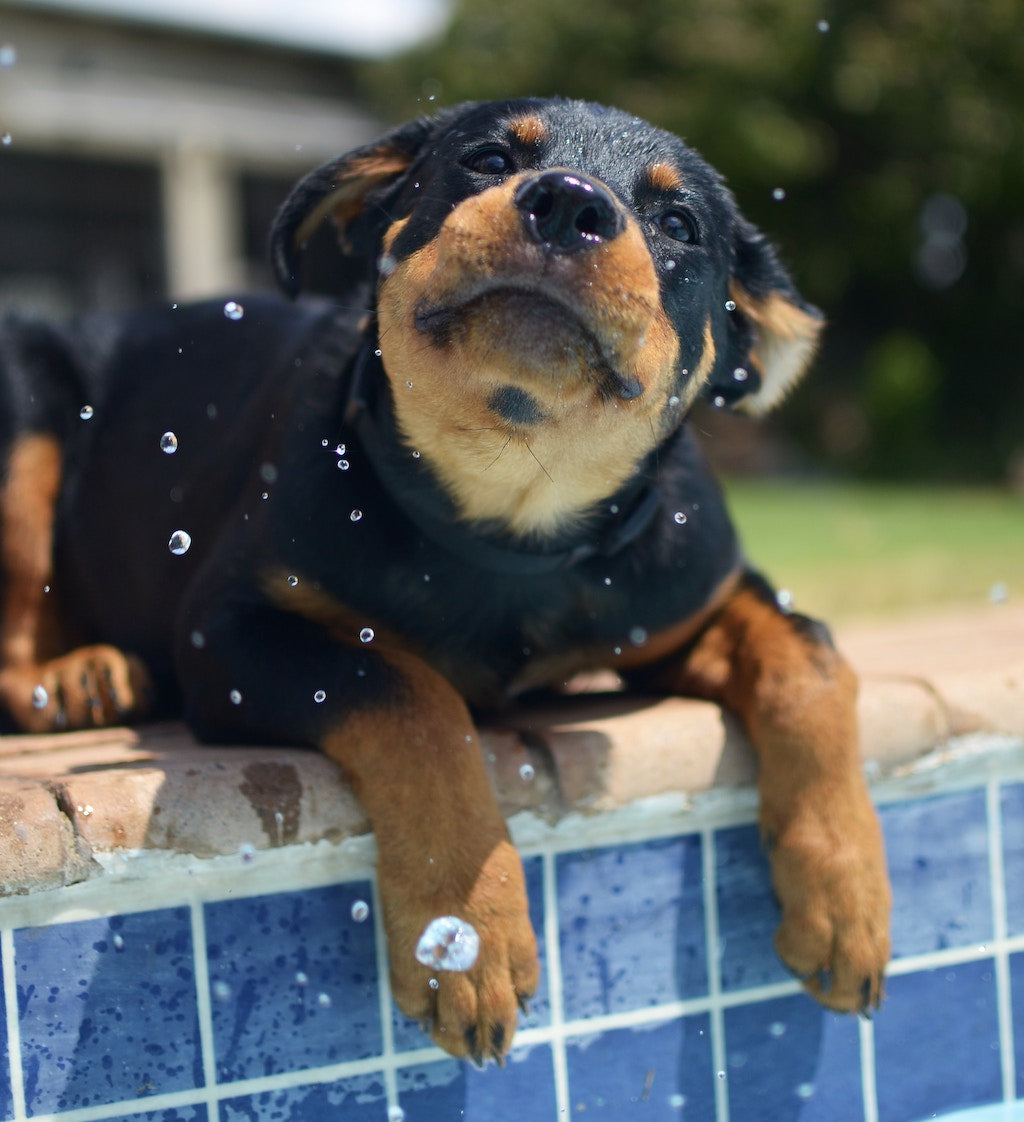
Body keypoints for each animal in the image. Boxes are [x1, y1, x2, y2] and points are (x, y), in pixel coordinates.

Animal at [0, 96, 888, 1059]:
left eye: (680, 224)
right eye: (488, 159)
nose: (569, 204)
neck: (509, 515)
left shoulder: (693, 597)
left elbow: (812, 659)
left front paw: (847, 897)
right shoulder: (230, 632)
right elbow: (413, 696)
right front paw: (467, 932)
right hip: (25, 419)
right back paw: (73, 678)